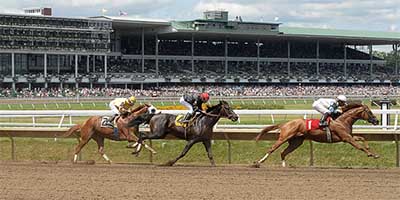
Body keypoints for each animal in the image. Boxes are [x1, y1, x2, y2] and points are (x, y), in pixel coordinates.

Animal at [252, 103, 380, 167]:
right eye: (369, 112)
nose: (376, 121)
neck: (342, 120)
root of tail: (285, 123)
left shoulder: (347, 137)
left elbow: (362, 138)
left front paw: (373, 152)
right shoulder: (346, 138)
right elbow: (359, 146)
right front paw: (370, 154)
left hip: (296, 142)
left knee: (283, 152)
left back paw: (284, 165)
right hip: (284, 137)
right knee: (272, 148)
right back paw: (258, 162)